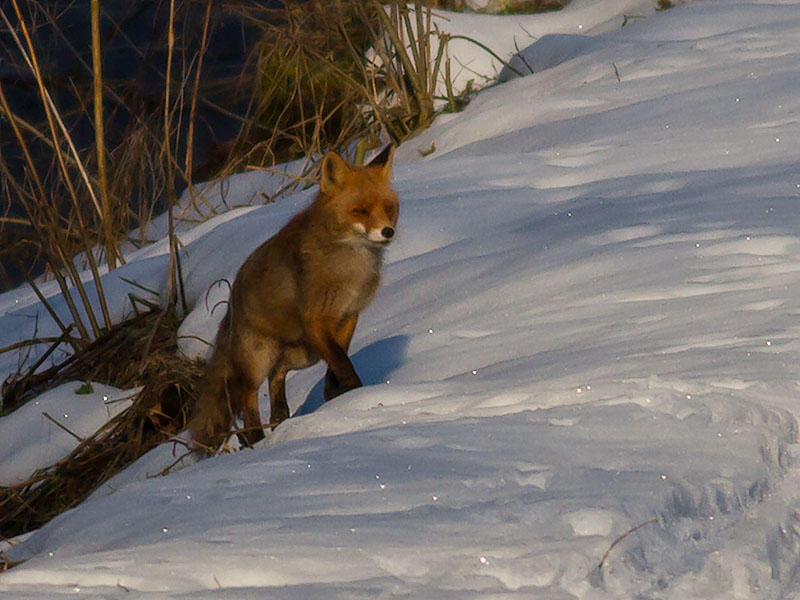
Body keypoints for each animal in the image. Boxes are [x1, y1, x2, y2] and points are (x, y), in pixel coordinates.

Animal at [188, 146, 400, 454]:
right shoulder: (315, 319)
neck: (349, 268)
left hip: (303, 354)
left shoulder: (348, 315)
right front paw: (357, 394)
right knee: (247, 396)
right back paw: (255, 438)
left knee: (277, 374)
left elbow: (338, 359)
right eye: (359, 210)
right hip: (258, 358)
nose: (387, 232)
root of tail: (231, 303)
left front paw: (336, 395)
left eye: (389, 208)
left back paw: (279, 417)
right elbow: (341, 361)